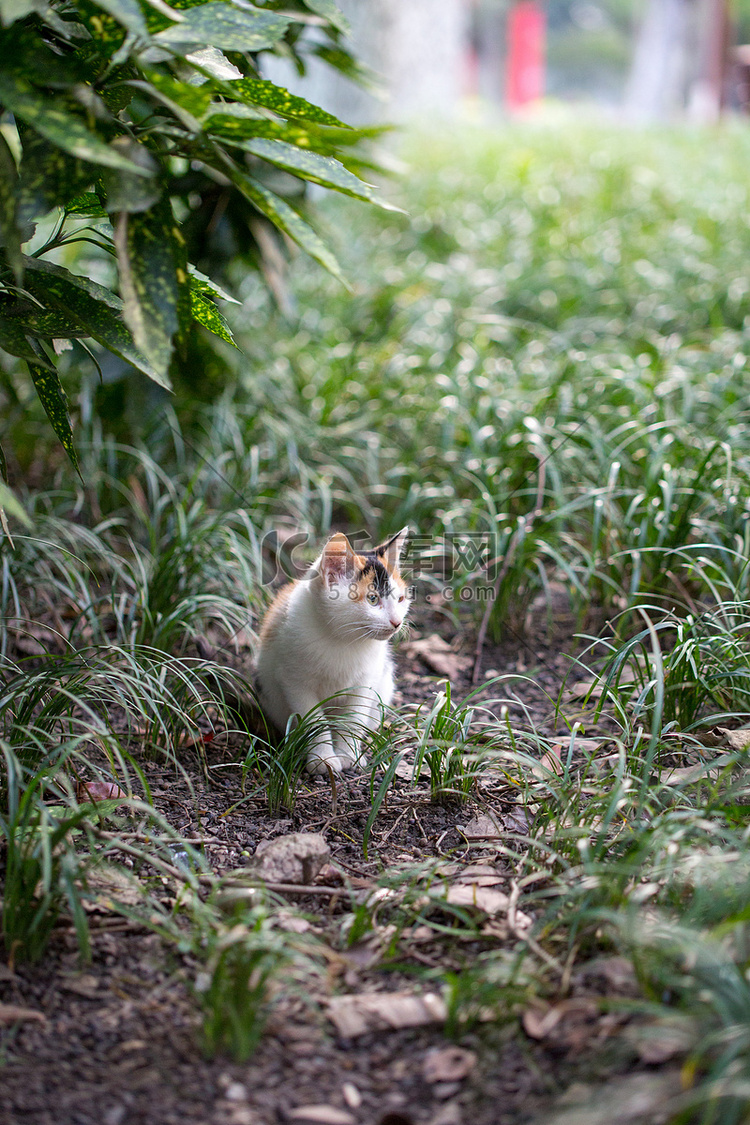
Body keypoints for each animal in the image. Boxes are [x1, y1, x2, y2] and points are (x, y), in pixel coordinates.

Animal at [256, 526, 411, 774]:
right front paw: (323, 759)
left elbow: (352, 719)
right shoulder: (294, 681)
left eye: (401, 599)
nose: (397, 622)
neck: (343, 640)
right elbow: (313, 719)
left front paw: (348, 755)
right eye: (372, 599)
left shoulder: (366, 681)